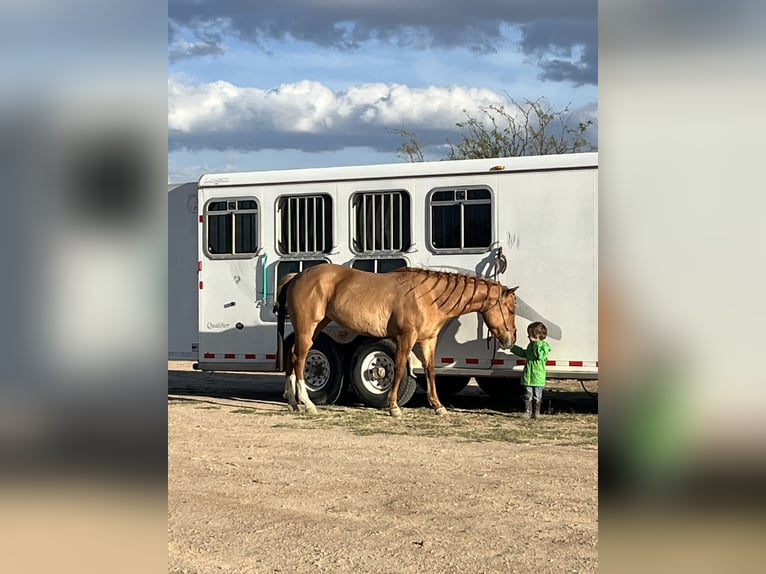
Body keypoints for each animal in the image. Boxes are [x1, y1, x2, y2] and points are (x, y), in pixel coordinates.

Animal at [276, 263, 518, 417]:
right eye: (510, 308)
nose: (510, 339)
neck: (429, 296)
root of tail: (296, 277)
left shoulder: (428, 340)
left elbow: (430, 371)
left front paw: (438, 406)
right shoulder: (406, 337)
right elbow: (400, 368)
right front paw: (393, 407)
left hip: (315, 327)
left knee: (293, 356)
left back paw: (293, 402)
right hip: (307, 328)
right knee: (300, 360)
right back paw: (307, 404)